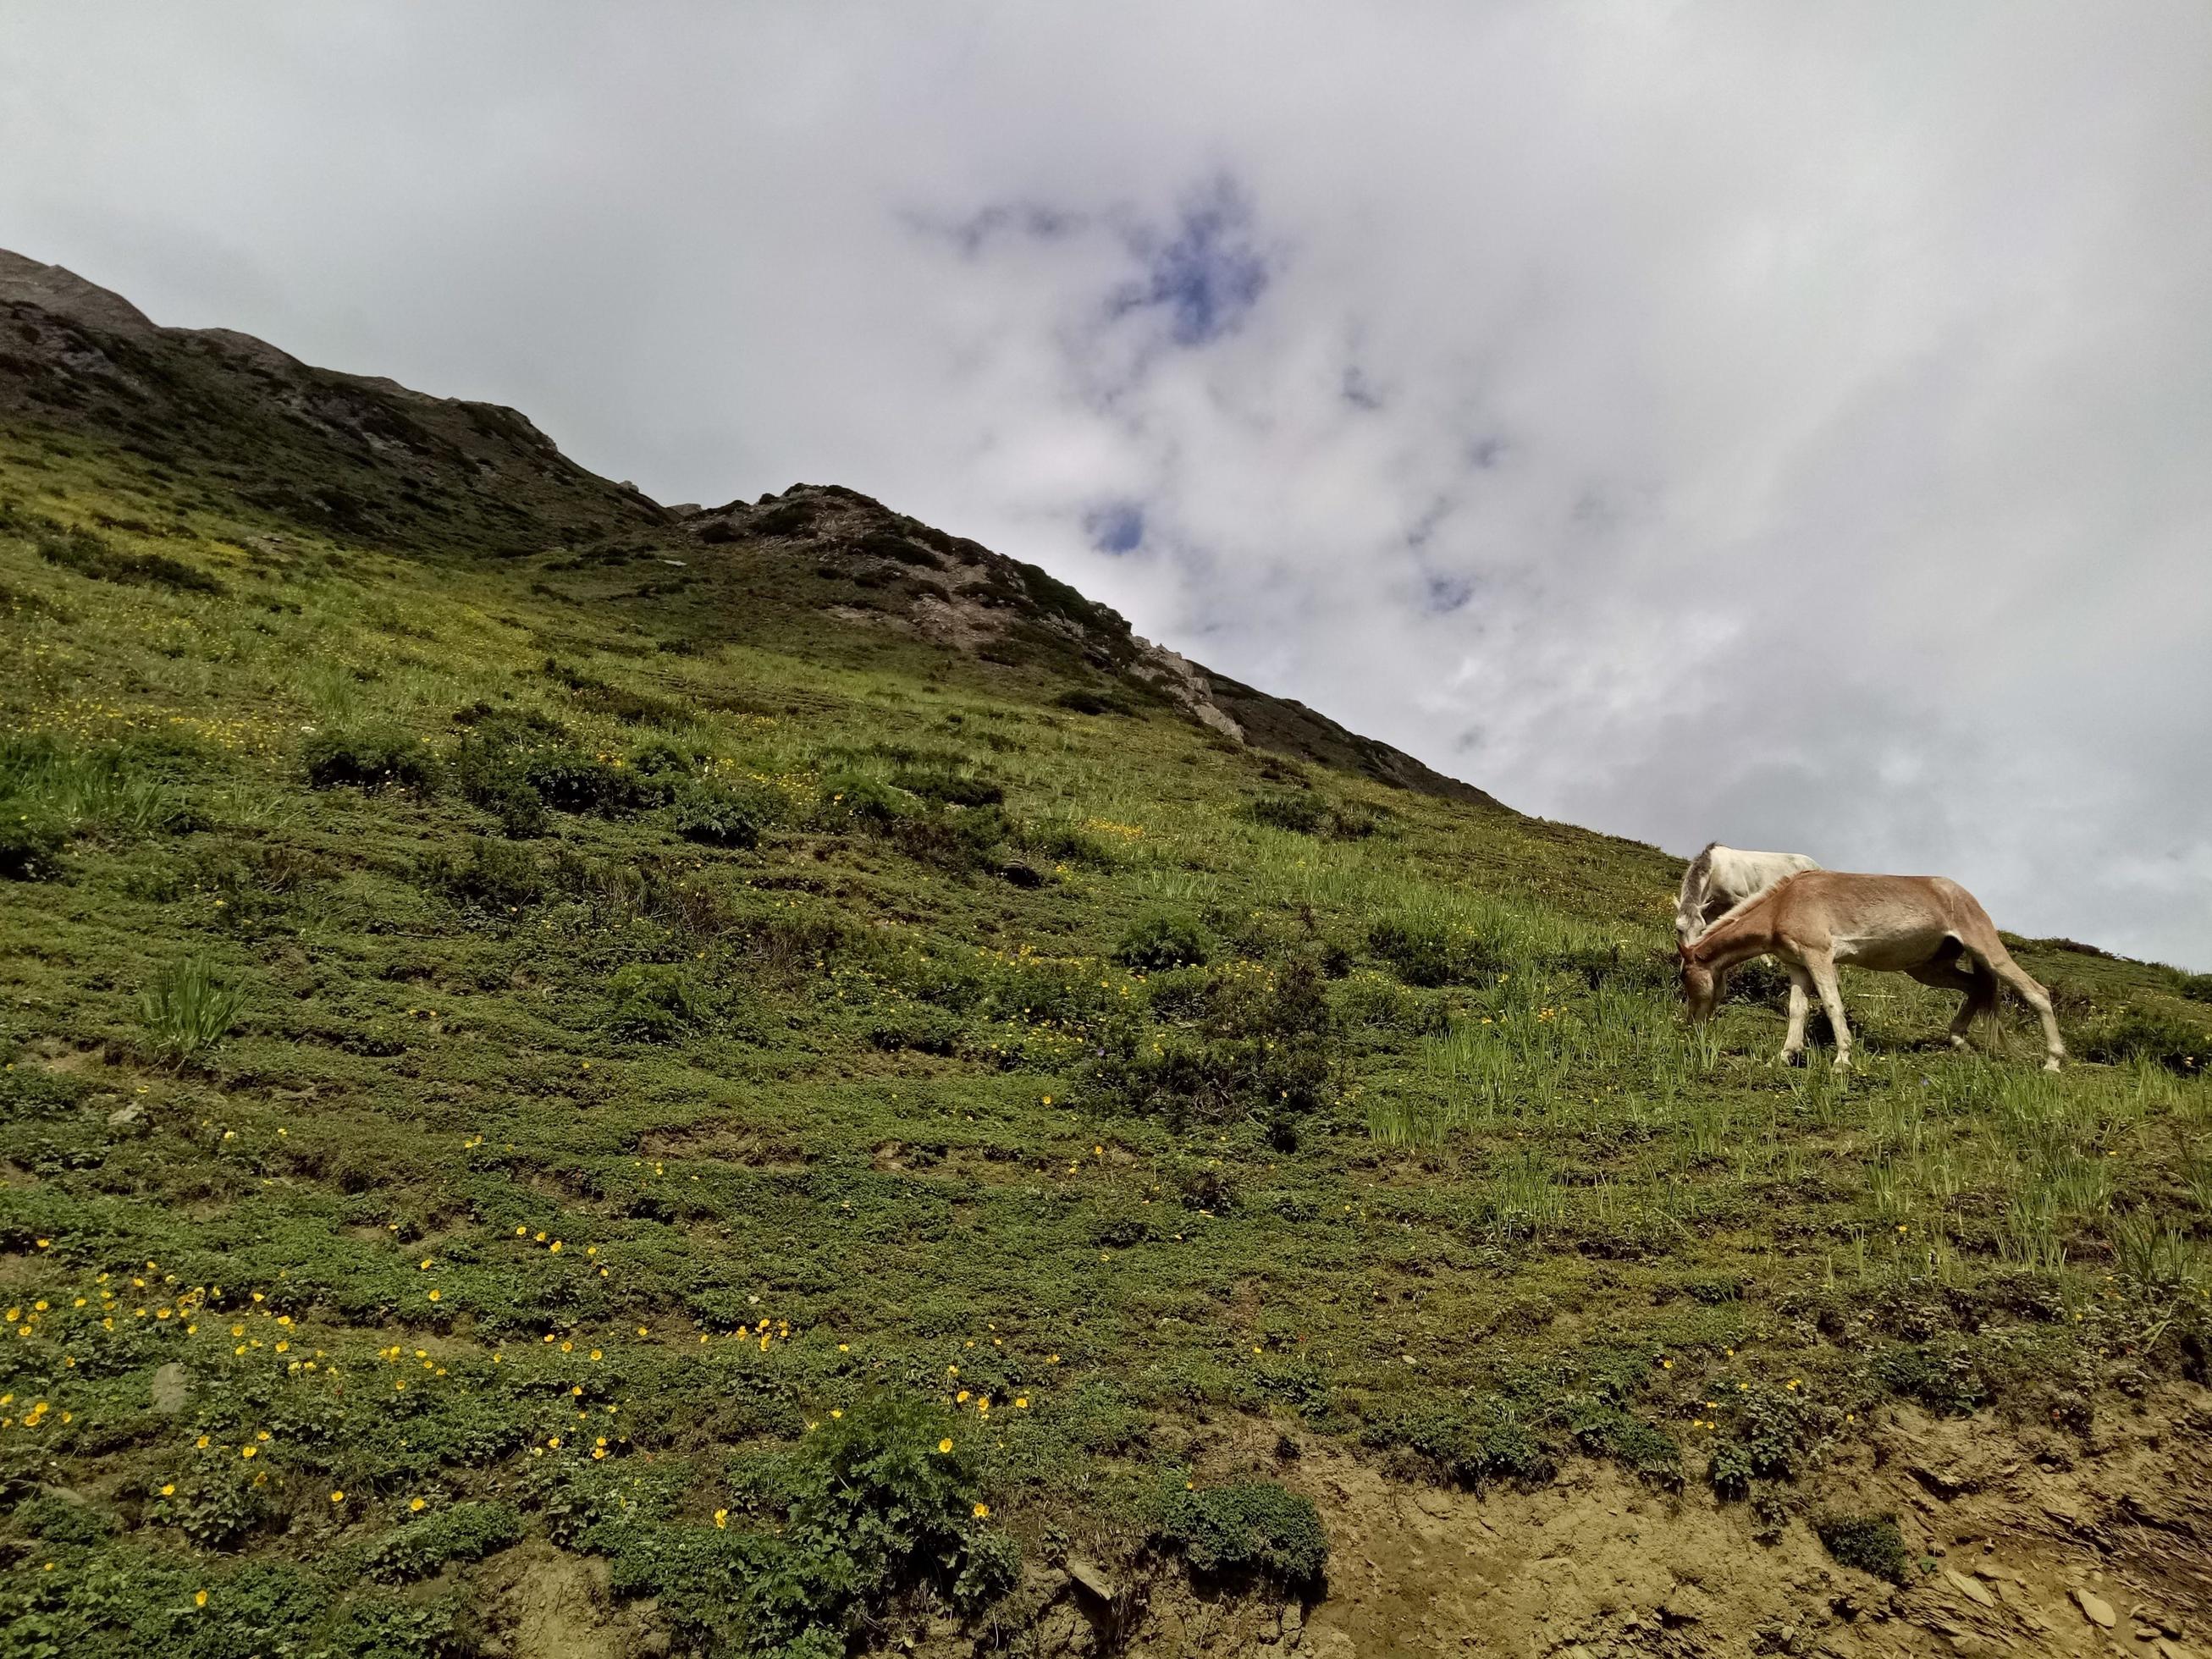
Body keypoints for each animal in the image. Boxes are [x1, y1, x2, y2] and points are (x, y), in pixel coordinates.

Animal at [1680, 871, 2061, 1079]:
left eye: (1685, 977)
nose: (1692, 1024)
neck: (1783, 904)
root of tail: (1963, 894)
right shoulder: (1799, 967)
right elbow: (1797, 1011)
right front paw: (1784, 1057)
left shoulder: (1820, 958)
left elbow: (1832, 1005)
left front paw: (1842, 1060)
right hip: (1927, 968)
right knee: (1976, 987)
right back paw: (1958, 1041)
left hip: (1985, 949)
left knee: (2036, 992)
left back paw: (2053, 1062)